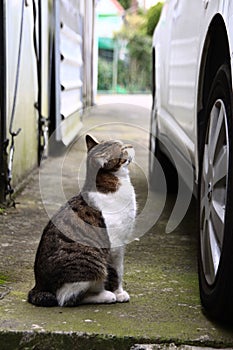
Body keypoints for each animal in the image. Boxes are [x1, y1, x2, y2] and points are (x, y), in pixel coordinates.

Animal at [27, 134, 137, 306]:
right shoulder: (115, 246)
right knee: (67, 298)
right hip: (92, 264)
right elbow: (117, 271)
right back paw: (105, 296)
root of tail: (39, 285)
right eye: (123, 149)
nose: (131, 145)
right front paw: (118, 293)